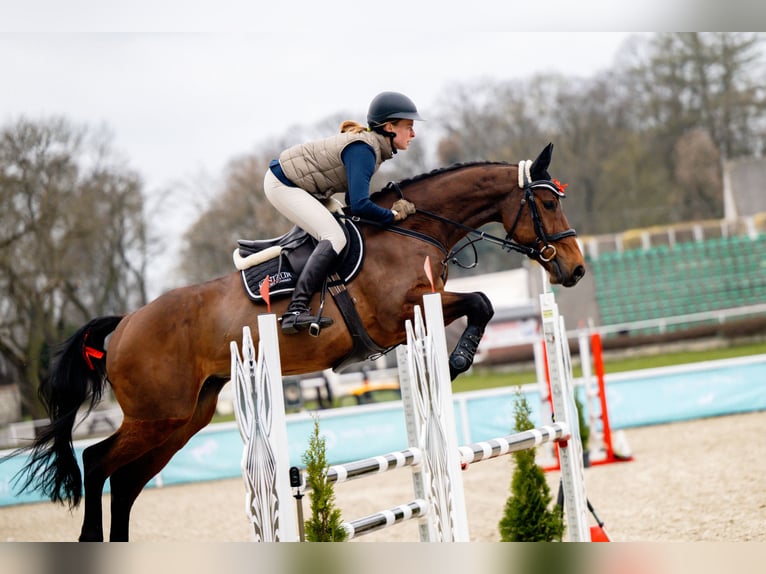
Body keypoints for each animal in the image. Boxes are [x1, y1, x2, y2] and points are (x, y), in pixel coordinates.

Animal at [13, 142, 585, 541]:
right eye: (545, 204)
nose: (576, 269)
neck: (412, 230)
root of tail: (126, 322)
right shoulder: (400, 312)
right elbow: (482, 302)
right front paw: (459, 359)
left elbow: (480, 304)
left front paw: (458, 357)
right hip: (157, 414)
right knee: (97, 463)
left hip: (185, 418)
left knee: (127, 481)